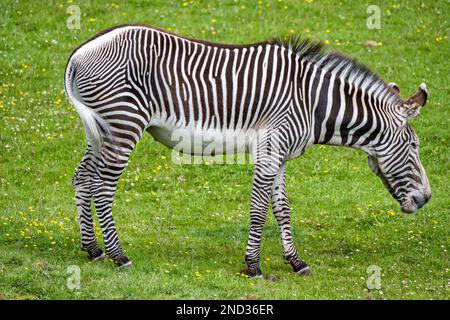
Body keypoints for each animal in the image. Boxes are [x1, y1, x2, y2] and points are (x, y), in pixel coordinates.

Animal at [65, 25, 430, 276]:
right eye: (414, 145)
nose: (426, 199)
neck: (312, 103)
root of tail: (80, 53)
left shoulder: (280, 155)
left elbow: (282, 208)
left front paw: (295, 261)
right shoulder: (270, 151)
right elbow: (258, 209)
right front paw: (253, 265)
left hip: (100, 129)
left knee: (83, 177)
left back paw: (92, 249)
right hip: (124, 123)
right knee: (103, 186)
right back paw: (118, 255)